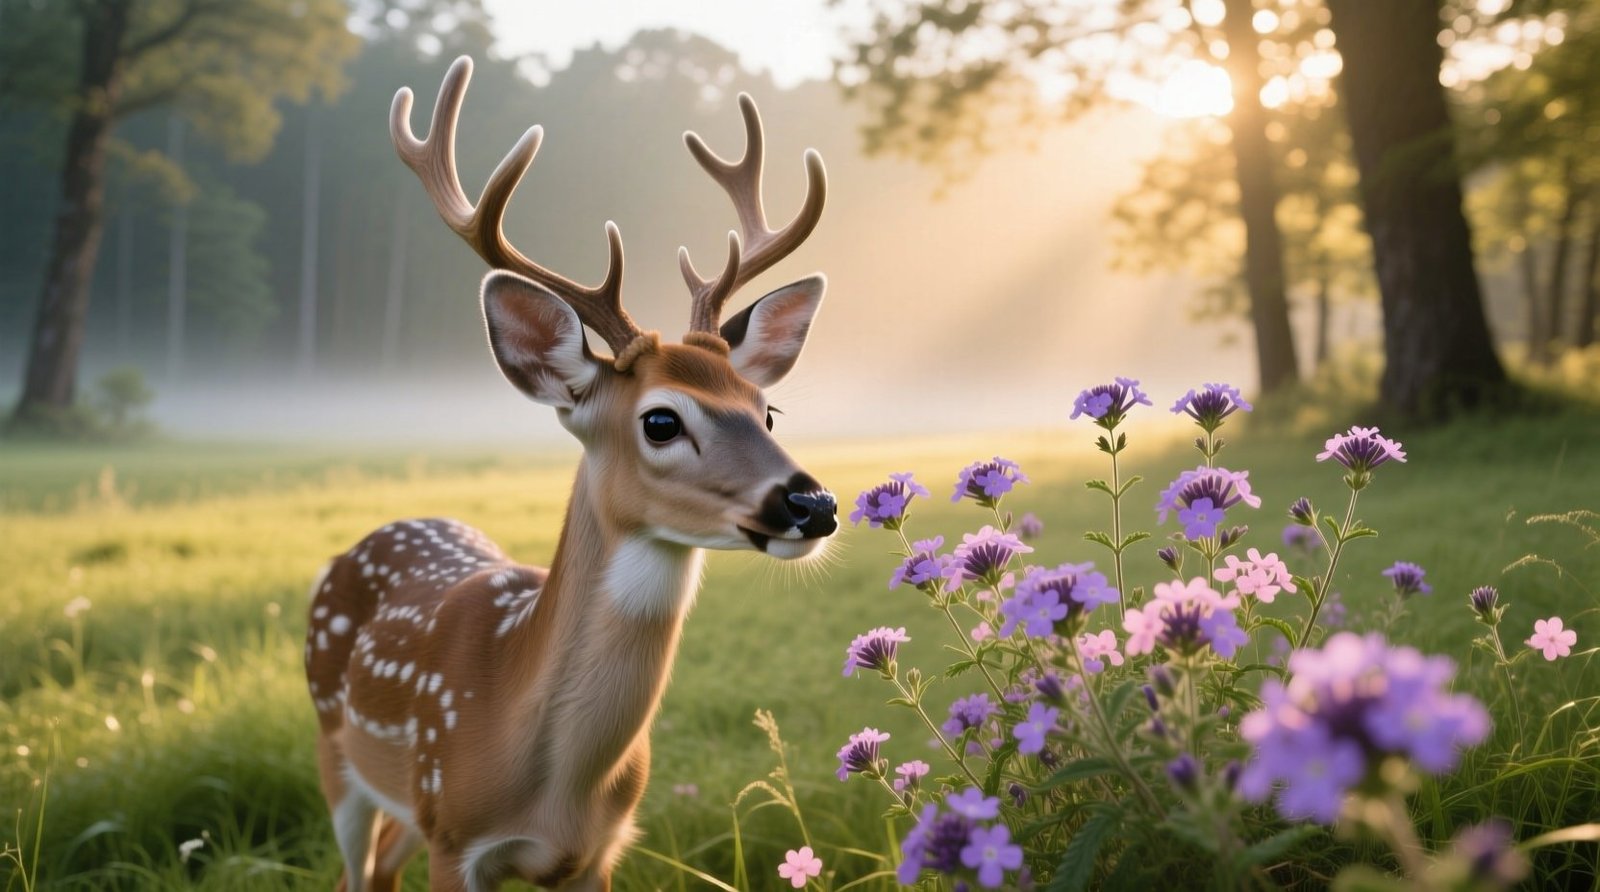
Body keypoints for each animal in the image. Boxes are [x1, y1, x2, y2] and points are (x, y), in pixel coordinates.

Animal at [303, 56, 835, 891]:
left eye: (768, 411)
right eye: (660, 420)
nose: (813, 504)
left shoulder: (600, 849)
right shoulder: (455, 836)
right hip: (341, 751)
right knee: (356, 869)